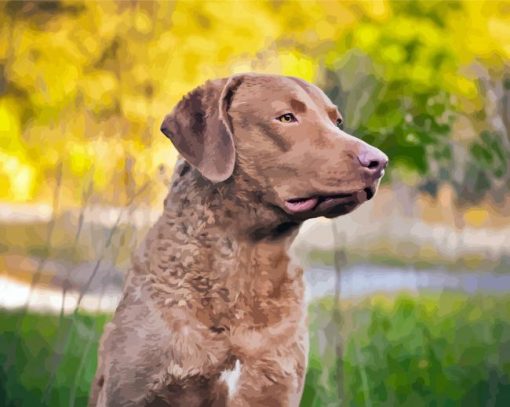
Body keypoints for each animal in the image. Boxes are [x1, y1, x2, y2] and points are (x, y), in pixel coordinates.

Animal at [90, 74, 386, 407]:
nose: (379, 162)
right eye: (286, 117)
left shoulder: (277, 385)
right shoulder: (133, 392)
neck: (244, 261)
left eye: (337, 122)